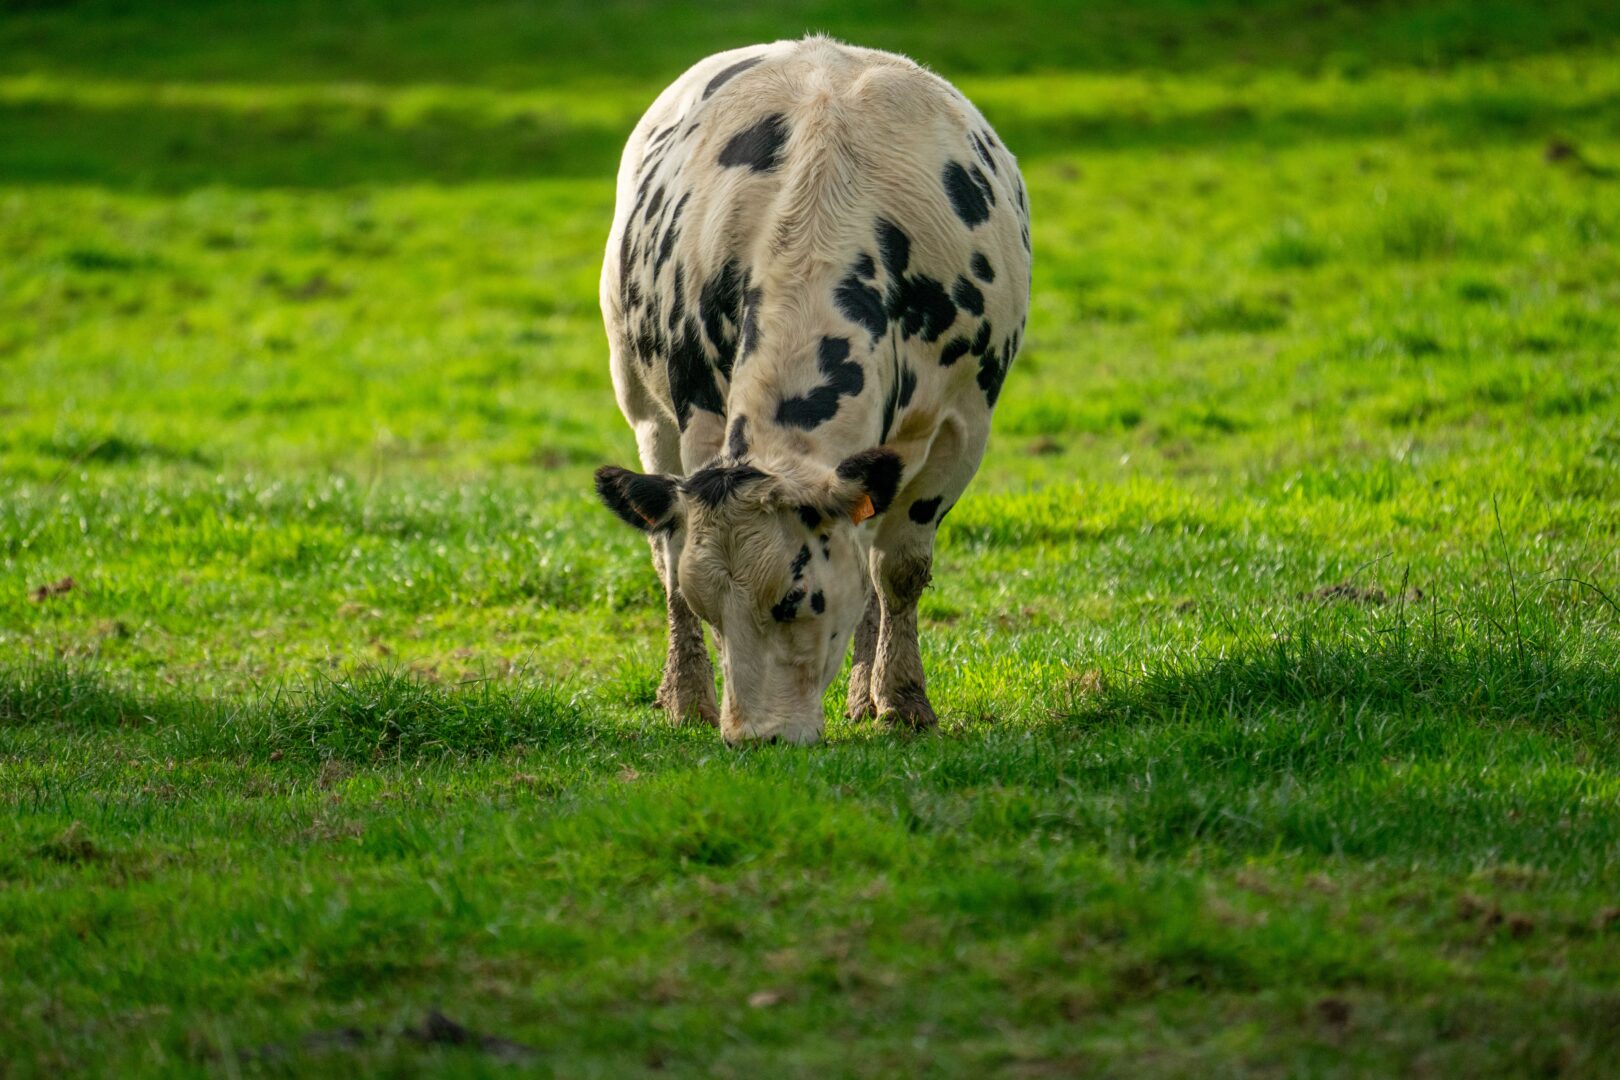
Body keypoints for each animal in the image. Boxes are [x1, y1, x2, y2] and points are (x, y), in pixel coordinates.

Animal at [594, 36, 1030, 745]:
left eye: (794, 598)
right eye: (711, 609)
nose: (755, 738)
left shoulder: (963, 423)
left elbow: (897, 569)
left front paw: (901, 700)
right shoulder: (699, 420)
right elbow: (678, 562)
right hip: (643, 408)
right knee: (662, 549)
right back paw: (686, 695)